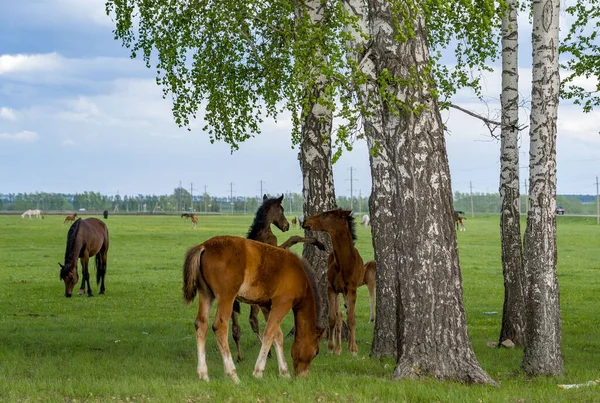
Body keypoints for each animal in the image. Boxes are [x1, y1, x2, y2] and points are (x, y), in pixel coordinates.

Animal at [183, 237, 326, 386]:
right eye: (316, 352)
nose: (302, 377)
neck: (299, 275)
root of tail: (204, 246)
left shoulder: (266, 306)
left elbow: (277, 336)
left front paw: (284, 372)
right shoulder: (283, 303)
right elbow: (269, 334)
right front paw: (258, 372)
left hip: (206, 293)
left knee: (201, 324)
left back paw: (203, 374)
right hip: (226, 296)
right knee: (220, 327)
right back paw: (232, 374)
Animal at [304, 210, 376, 356]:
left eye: (326, 215)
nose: (305, 221)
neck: (343, 262)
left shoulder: (352, 289)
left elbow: (351, 319)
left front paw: (353, 349)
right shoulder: (332, 289)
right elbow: (332, 318)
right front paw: (332, 348)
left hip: (347, 292)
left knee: (348, 314)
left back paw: (349, 345)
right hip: (339, 292)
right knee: (339, 316)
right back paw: (338, 348)